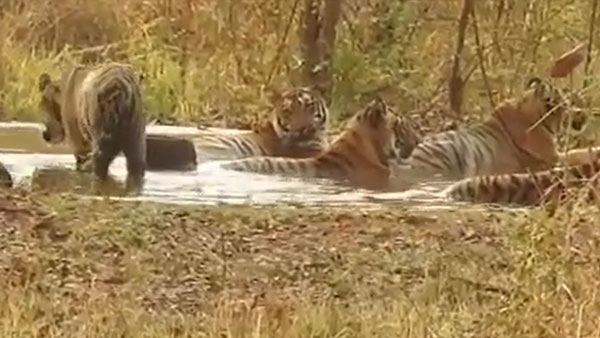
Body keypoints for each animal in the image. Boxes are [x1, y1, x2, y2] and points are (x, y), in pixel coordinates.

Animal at [38, 62, 145, 191]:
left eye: (44, 103)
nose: (46, 135)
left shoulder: (78, 137)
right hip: (135, 130)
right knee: (136, 162)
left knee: (101, 160)